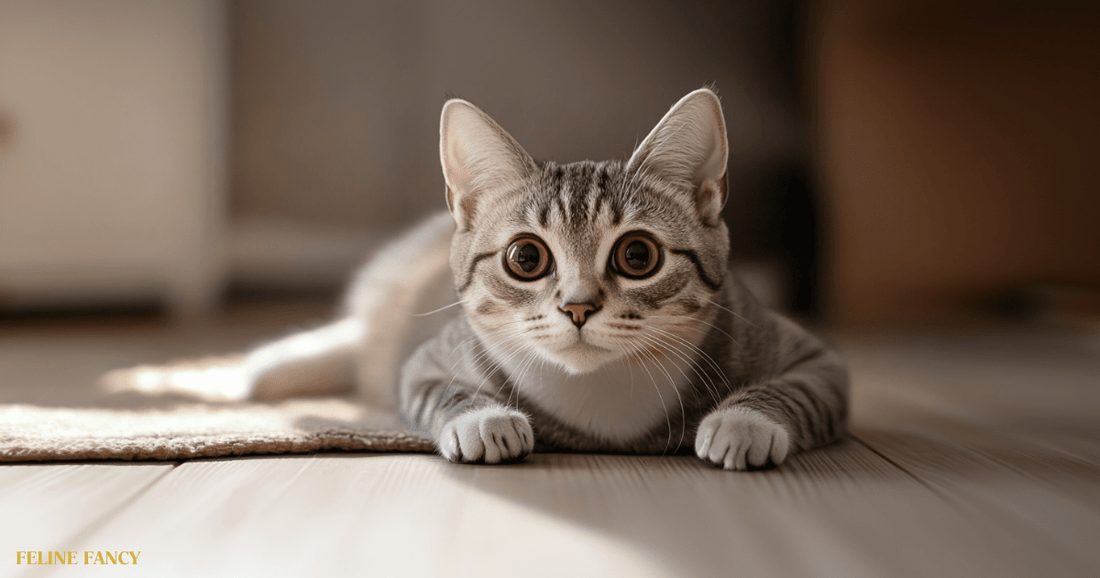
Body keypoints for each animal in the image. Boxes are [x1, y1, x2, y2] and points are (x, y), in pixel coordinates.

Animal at [247, 89, 849, 469]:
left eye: (638, 255)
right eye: (526, 259)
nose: (578, 306)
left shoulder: (808, 356)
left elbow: (797, 389)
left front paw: (744, 423)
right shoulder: (425, 360)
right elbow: (438, 389)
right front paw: (484, 418)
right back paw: (260, 373)